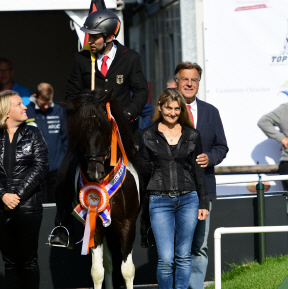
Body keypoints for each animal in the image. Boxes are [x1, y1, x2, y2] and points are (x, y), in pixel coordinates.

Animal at [65, 89, 142, 286]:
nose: (94, 171)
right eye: (81, 131)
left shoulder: (128, 223)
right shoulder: (96, 226)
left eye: (106, 129)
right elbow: (97, 271)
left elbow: (127, 270)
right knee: (107, 263)